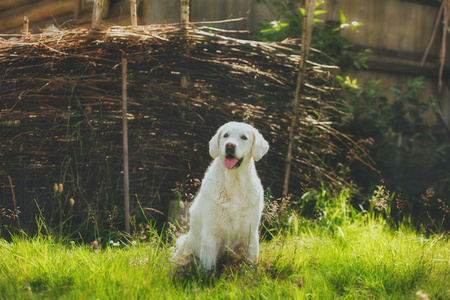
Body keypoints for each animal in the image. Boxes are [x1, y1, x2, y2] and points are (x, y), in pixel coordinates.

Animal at [173, 120, 268, 270]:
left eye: (244, 137)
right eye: (226, 135)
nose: (229, 145)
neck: (234, 183)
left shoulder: (250, 232)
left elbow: (252, 261)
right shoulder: (211, 233)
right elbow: (207, 266)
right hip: (185, 246)